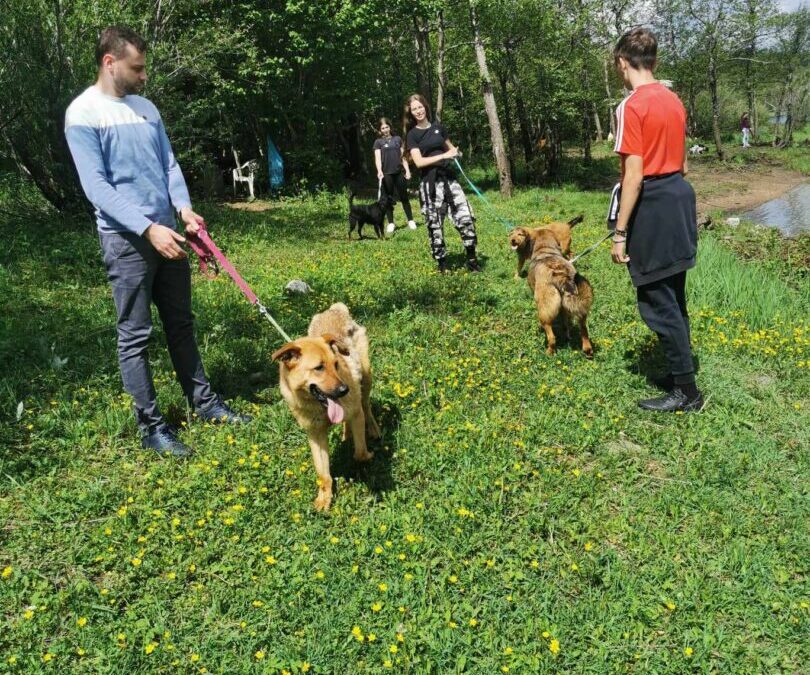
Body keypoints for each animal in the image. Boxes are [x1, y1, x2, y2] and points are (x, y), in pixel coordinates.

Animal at [268, 304, 376, 510]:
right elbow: (323, 473)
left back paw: (374, 429)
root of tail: (334, 309)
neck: (319, 407)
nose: (344, 390)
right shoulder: (315, 435)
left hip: (366, 378)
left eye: (336, 364)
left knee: (366, 405)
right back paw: (346, 434)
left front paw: (368, 456)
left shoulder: (356, 413)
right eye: (319, 368)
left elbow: (359, 453)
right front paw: (324, 498)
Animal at [528, 228, 592, 360]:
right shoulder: (564, 309)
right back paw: (587, 350)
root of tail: (562, 276)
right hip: (581, 312)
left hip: (544, 312)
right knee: (584, 330)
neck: (545, 250)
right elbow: (565, 323)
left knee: (551, 337)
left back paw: (549, 352)